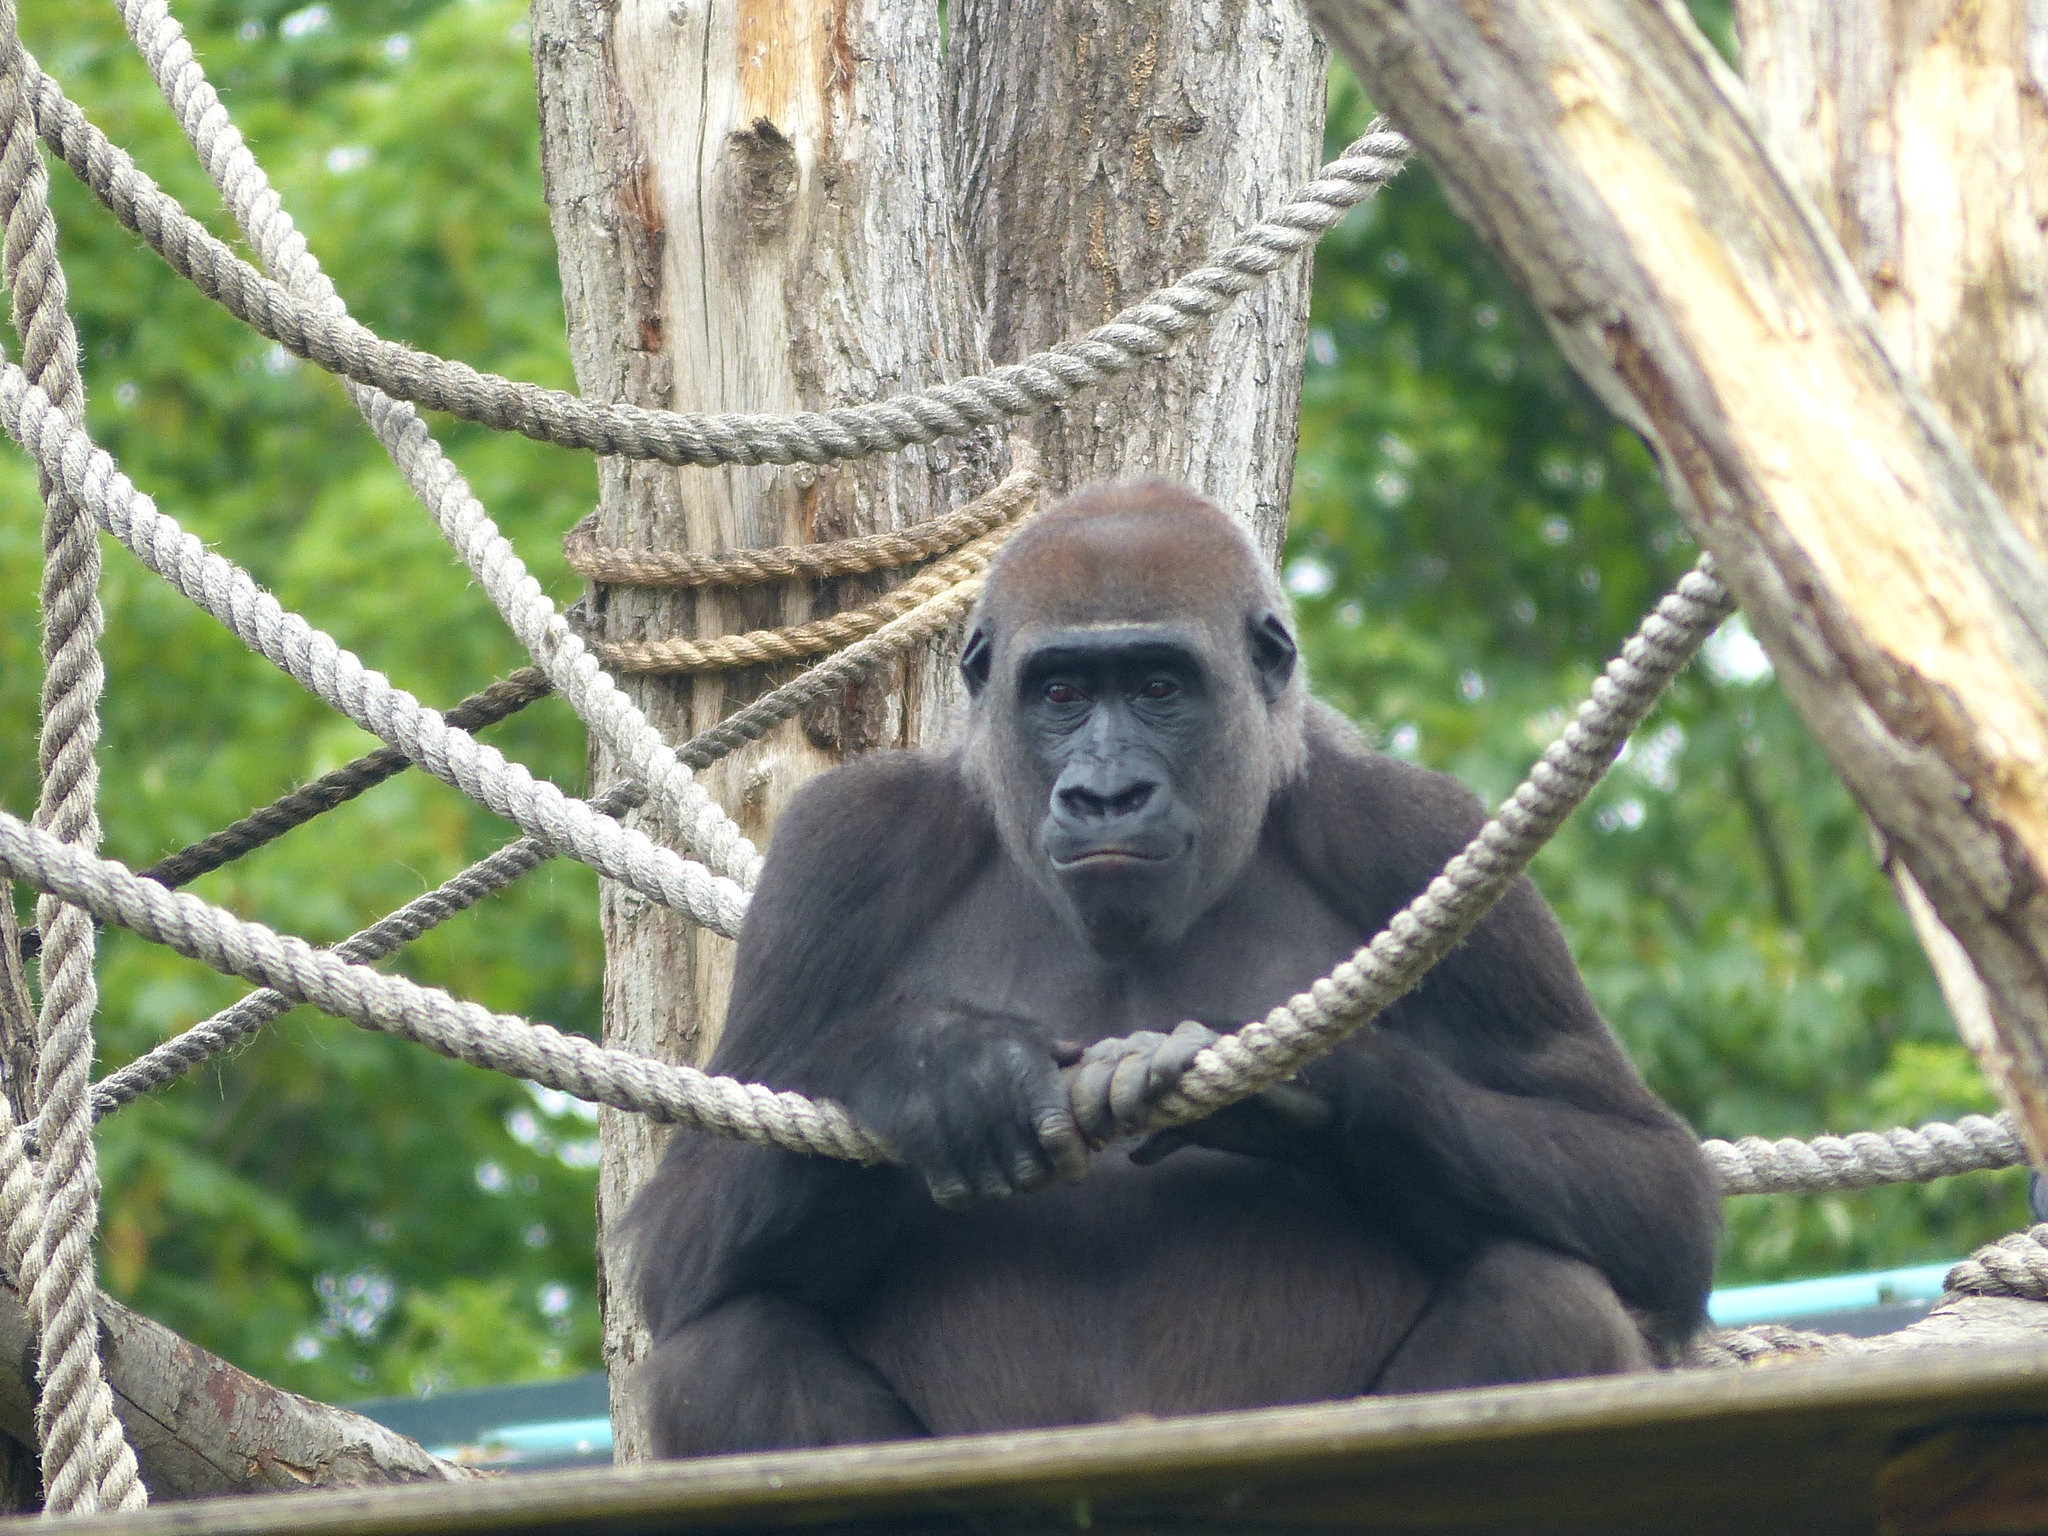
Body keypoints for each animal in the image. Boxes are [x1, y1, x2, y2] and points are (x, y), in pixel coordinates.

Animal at [630, 479, 1720, 1458]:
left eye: (1159, 687)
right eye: (1062, 693)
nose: (1107, 795)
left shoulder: (1423, 833)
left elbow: (1654, 1192)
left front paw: (1305, 1086)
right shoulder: (841, 847)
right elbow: (680, 1223)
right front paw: (935, 1068)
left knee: (1548, 1295)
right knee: (721, 1353)